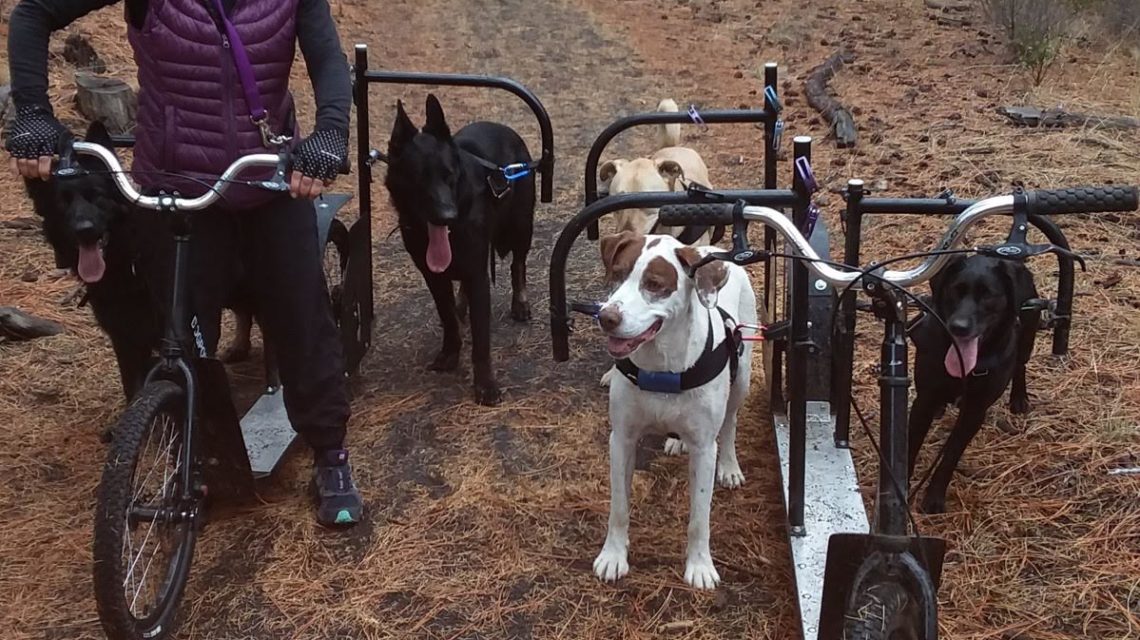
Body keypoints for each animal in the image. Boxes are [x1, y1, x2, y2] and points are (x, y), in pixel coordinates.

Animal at [385, 93, 535, 403]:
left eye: (449, 175)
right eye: (419, 177)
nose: (448, 216)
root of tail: (504, 128)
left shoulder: (478, 276)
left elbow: (481, 340)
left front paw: (485, 384)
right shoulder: (434, 277)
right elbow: (448, 319)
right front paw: (450, 353)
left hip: (520, 229)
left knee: (518, 265)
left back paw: (520, 302)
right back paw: (461, 305)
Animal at [592, 229, 752, 588]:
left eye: (654, 284)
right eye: (618, 273)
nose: (607, 317)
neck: (661, 366)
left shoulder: (705, 449)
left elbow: (699, 518)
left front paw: (700, 565)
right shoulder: (621, 439)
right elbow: (618, 507)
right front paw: (613, 555)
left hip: (742, 376)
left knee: (731, 423)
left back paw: (730, 465)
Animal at [907, 254, 1044, 513]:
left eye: (988, 295)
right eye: (955, 290)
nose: (958, 327)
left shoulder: (975, 412)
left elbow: (950, 457)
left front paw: (934, 499)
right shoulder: (923, 401)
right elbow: (908, 446)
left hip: (1028, 335)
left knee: (1020, 364)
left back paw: (1019, 399)